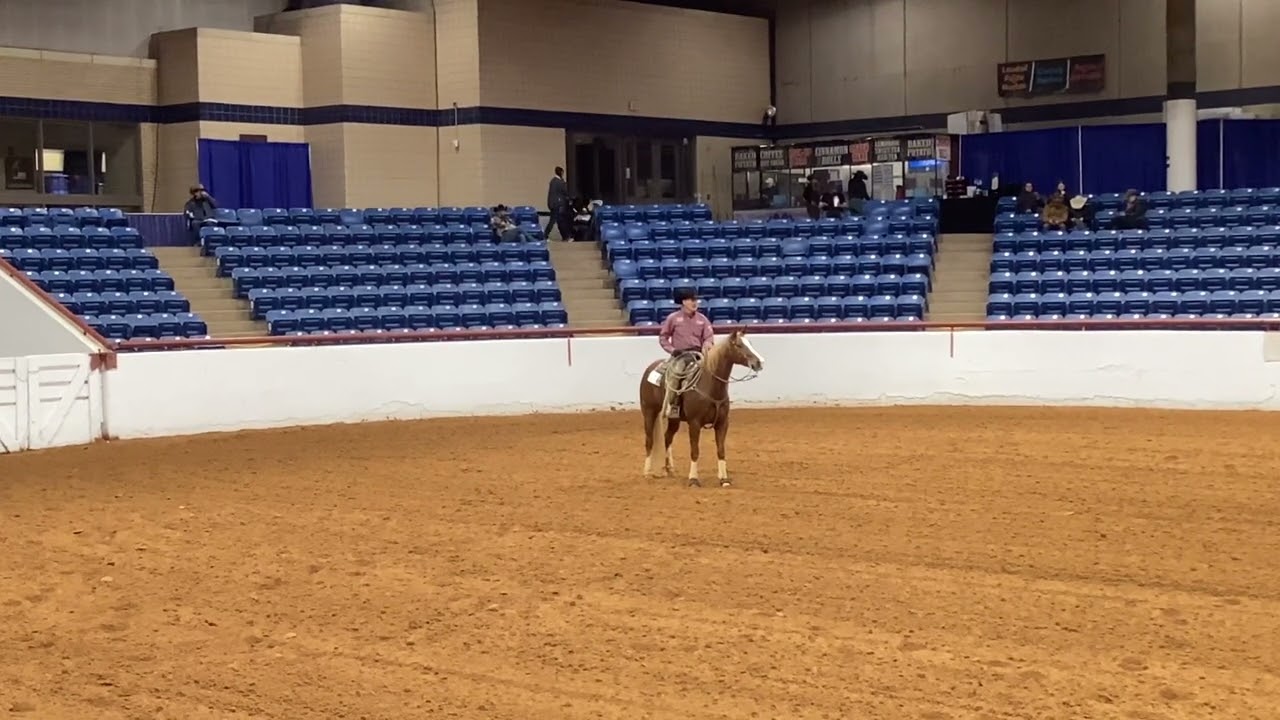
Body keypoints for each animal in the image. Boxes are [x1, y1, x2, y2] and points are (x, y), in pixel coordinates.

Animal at [638, 329, 765, 487]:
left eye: (750, 343)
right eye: (739, 345)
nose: (760, 362)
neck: (710, 386)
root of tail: (650, 368)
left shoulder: (723, 423)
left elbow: (721, 450)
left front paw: (724, 479)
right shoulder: (694, 423)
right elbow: (695, 451)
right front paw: (693, 479)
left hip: (674, 419)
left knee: (667, 438)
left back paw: (670, 469)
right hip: (649, 412)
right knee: (649, 441)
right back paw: (647, 473)